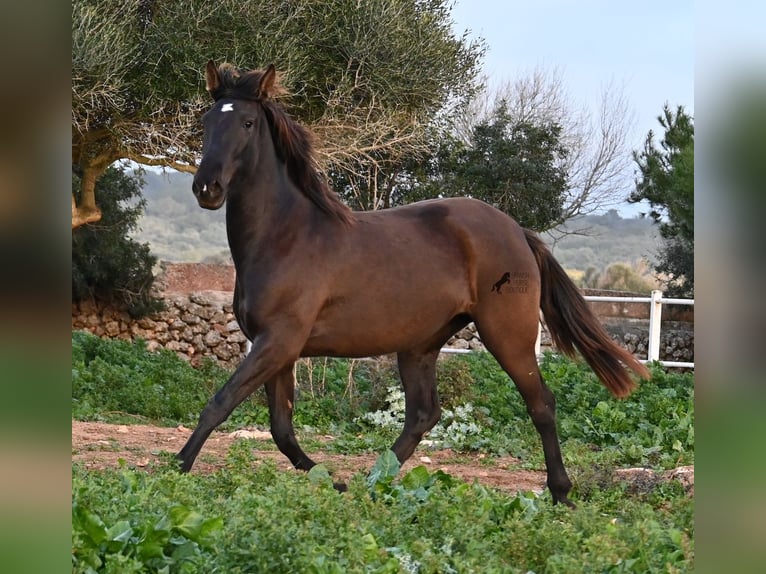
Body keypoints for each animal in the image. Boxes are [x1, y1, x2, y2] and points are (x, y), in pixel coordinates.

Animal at [180, 60, 656, 506]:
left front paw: (177, 468)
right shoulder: (279, 347)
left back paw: (560, 493)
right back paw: (374, 480)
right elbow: (281, 428)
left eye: (247, 122)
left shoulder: (279, 340)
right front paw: (334, 481)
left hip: (508, 335)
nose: (207, 188)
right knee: (424, 414)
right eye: (206, 121)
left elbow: (220, 403)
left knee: (540, 403)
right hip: (420, 345)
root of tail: (518, 231)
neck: (287, 235)